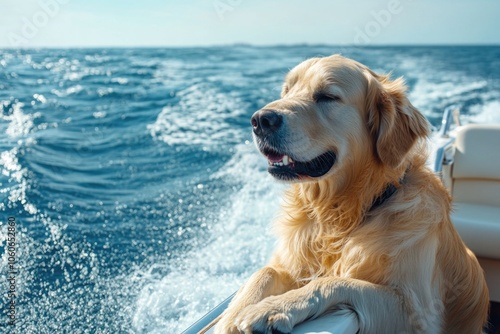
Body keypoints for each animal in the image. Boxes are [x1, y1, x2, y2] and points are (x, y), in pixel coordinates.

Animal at [210, 55, 488, 334]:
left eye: (327, 96)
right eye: (287, 91)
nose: (260, 120)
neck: (340, 218)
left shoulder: (418, 313)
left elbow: (332, 282)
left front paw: (273, 307)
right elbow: (265, 271)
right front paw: (230, 317)